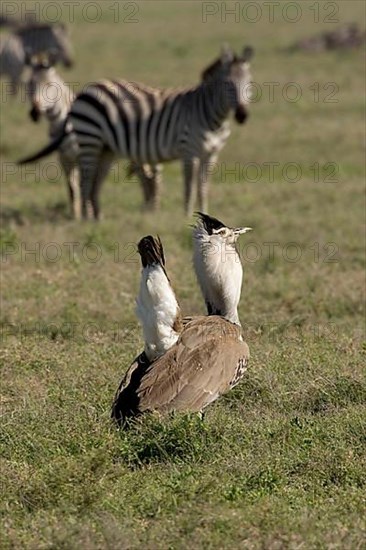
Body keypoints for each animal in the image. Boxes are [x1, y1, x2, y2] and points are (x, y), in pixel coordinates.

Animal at [18, 44, 254, 222]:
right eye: (228, 84)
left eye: (248, 83)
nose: (242, 115)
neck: (210, 115)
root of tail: (86, 90)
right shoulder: (189, 151)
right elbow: (189, 187)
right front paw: (187, 216)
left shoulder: (211, 154)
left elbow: (203, 188)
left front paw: (206, 215)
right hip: (90, 140)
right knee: (85, 182)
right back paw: (85, 219)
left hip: (106, 149)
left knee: (97, 183)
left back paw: (98, 218)